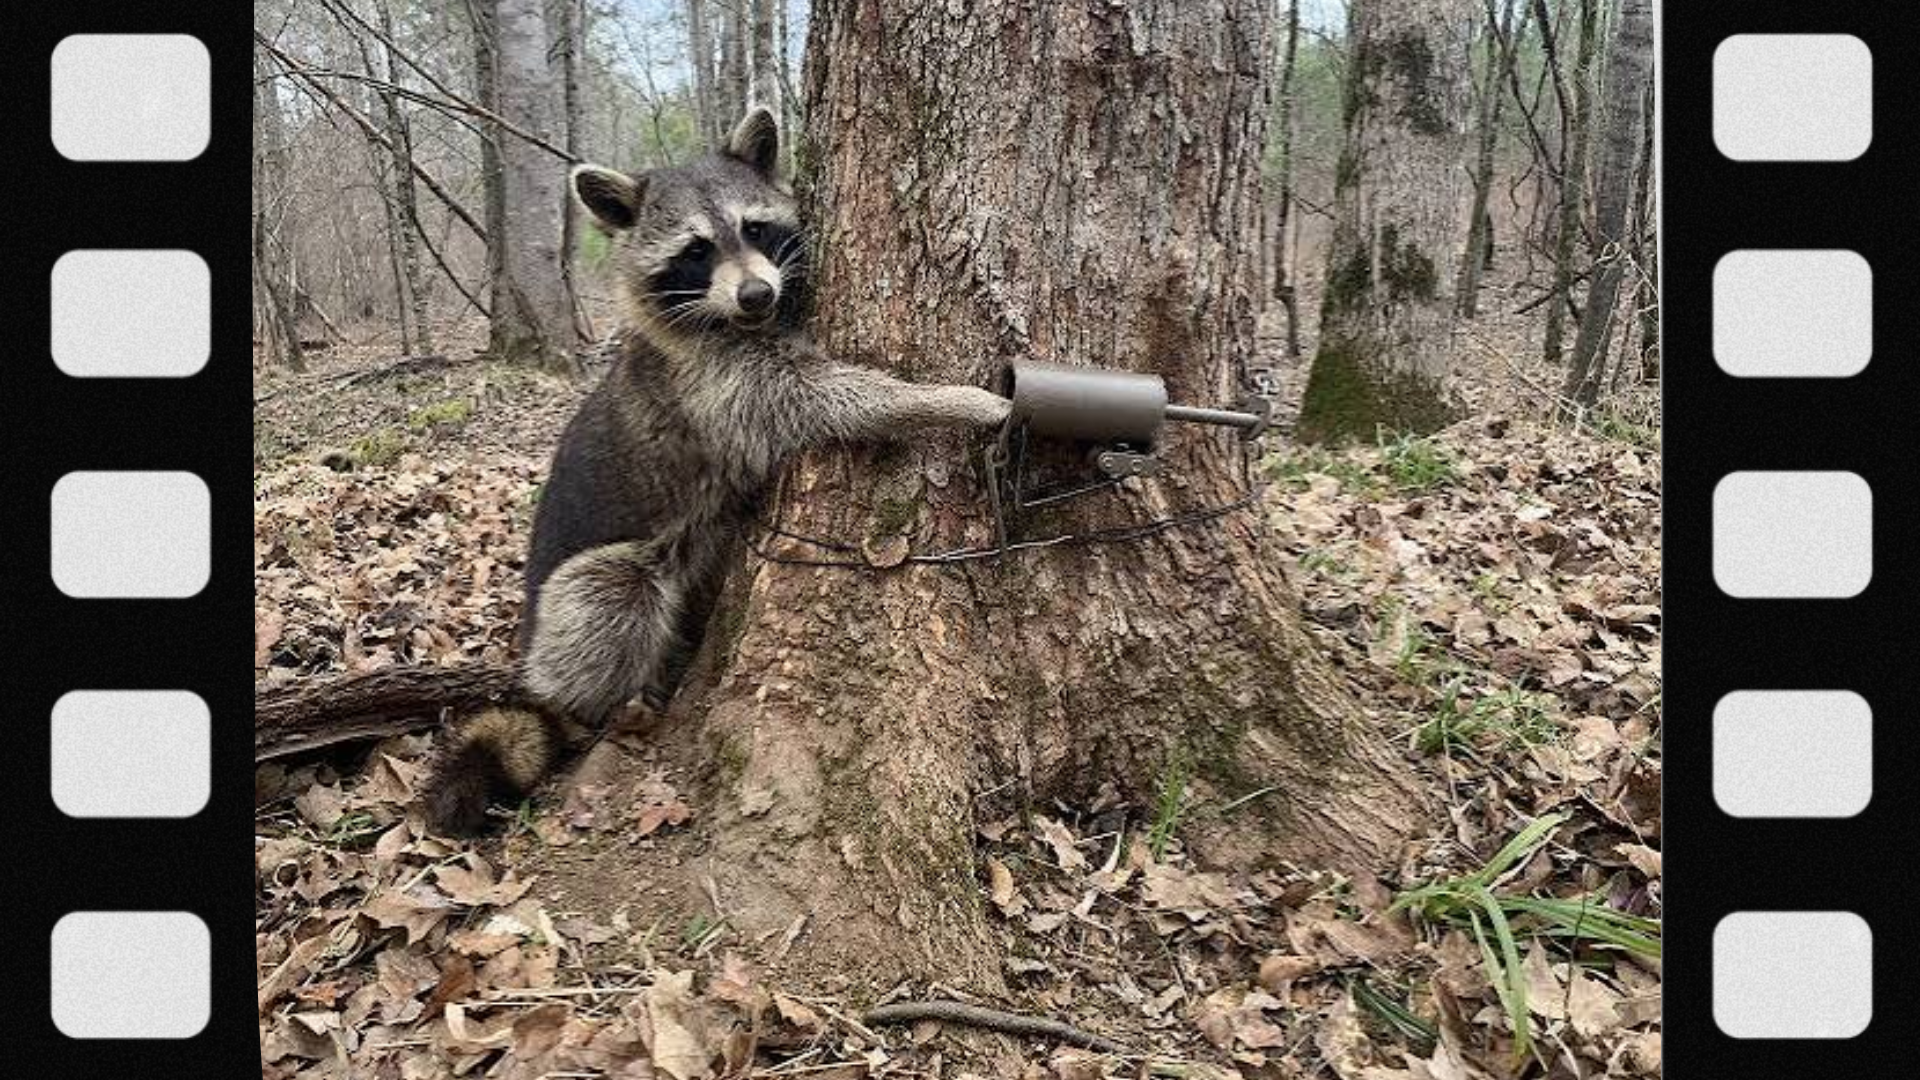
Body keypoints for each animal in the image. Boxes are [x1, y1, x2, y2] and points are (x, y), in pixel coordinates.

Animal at [418, 108, 1012, 835]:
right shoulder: (709, 384)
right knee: (608, 598)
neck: (731, 319)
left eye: (754, 229)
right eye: (696, 251)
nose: (756, 293)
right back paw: (595, 707)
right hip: (584, 588)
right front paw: (945, 399)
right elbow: (830, 399)